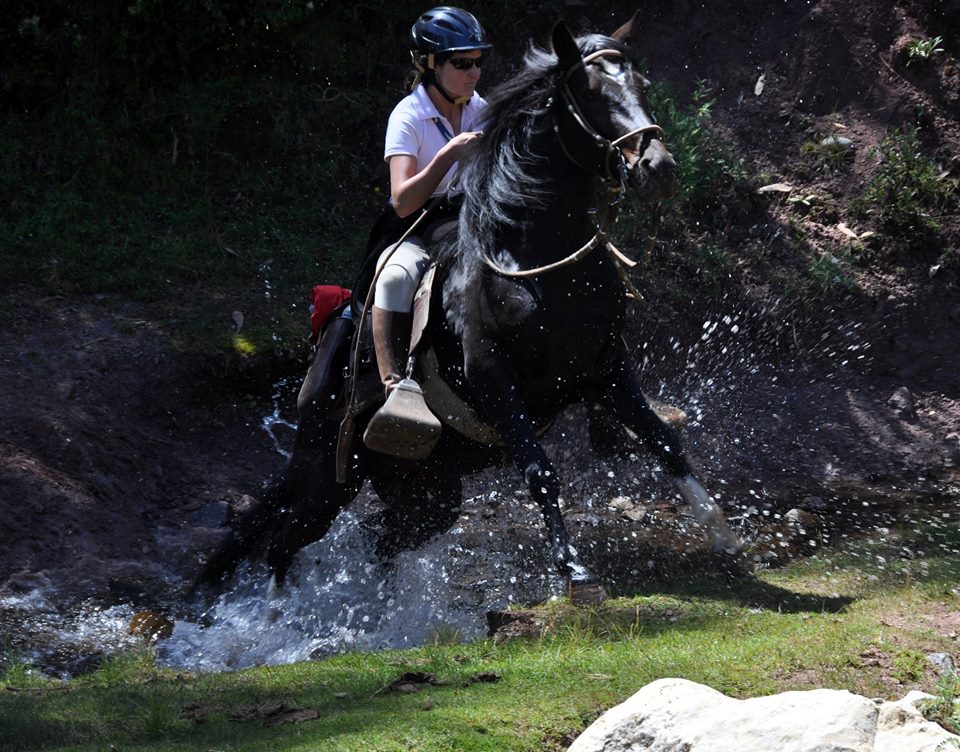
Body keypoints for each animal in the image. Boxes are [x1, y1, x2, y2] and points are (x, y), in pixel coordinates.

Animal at [199, 19, 748, 604]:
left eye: (642, 84)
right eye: (591, 93)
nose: (657, 168)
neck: (534, 258)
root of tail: (314, 382)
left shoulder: (606, 368)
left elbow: (665, 443)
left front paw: (725, 537)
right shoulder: (493, 376)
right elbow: (541, 473)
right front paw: (573, 570)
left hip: (426, 493)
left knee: (379, 541)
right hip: (327, 478)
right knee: (284, 540)